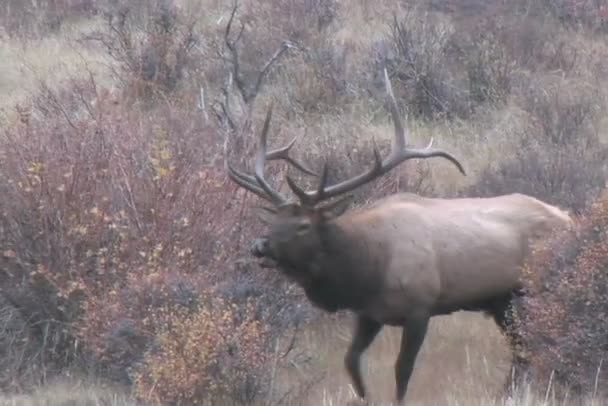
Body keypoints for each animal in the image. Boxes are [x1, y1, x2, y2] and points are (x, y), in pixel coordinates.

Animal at [226, 70, 572, 402]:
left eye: (303, 225)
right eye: (276, 219)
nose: (260, 245)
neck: (367, 267)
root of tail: (569, 218)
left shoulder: (420, 307)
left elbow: (402, 370)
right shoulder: (369, 314)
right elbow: (351, 362)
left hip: (535, 288)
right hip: (503, 300)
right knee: (522, 350)